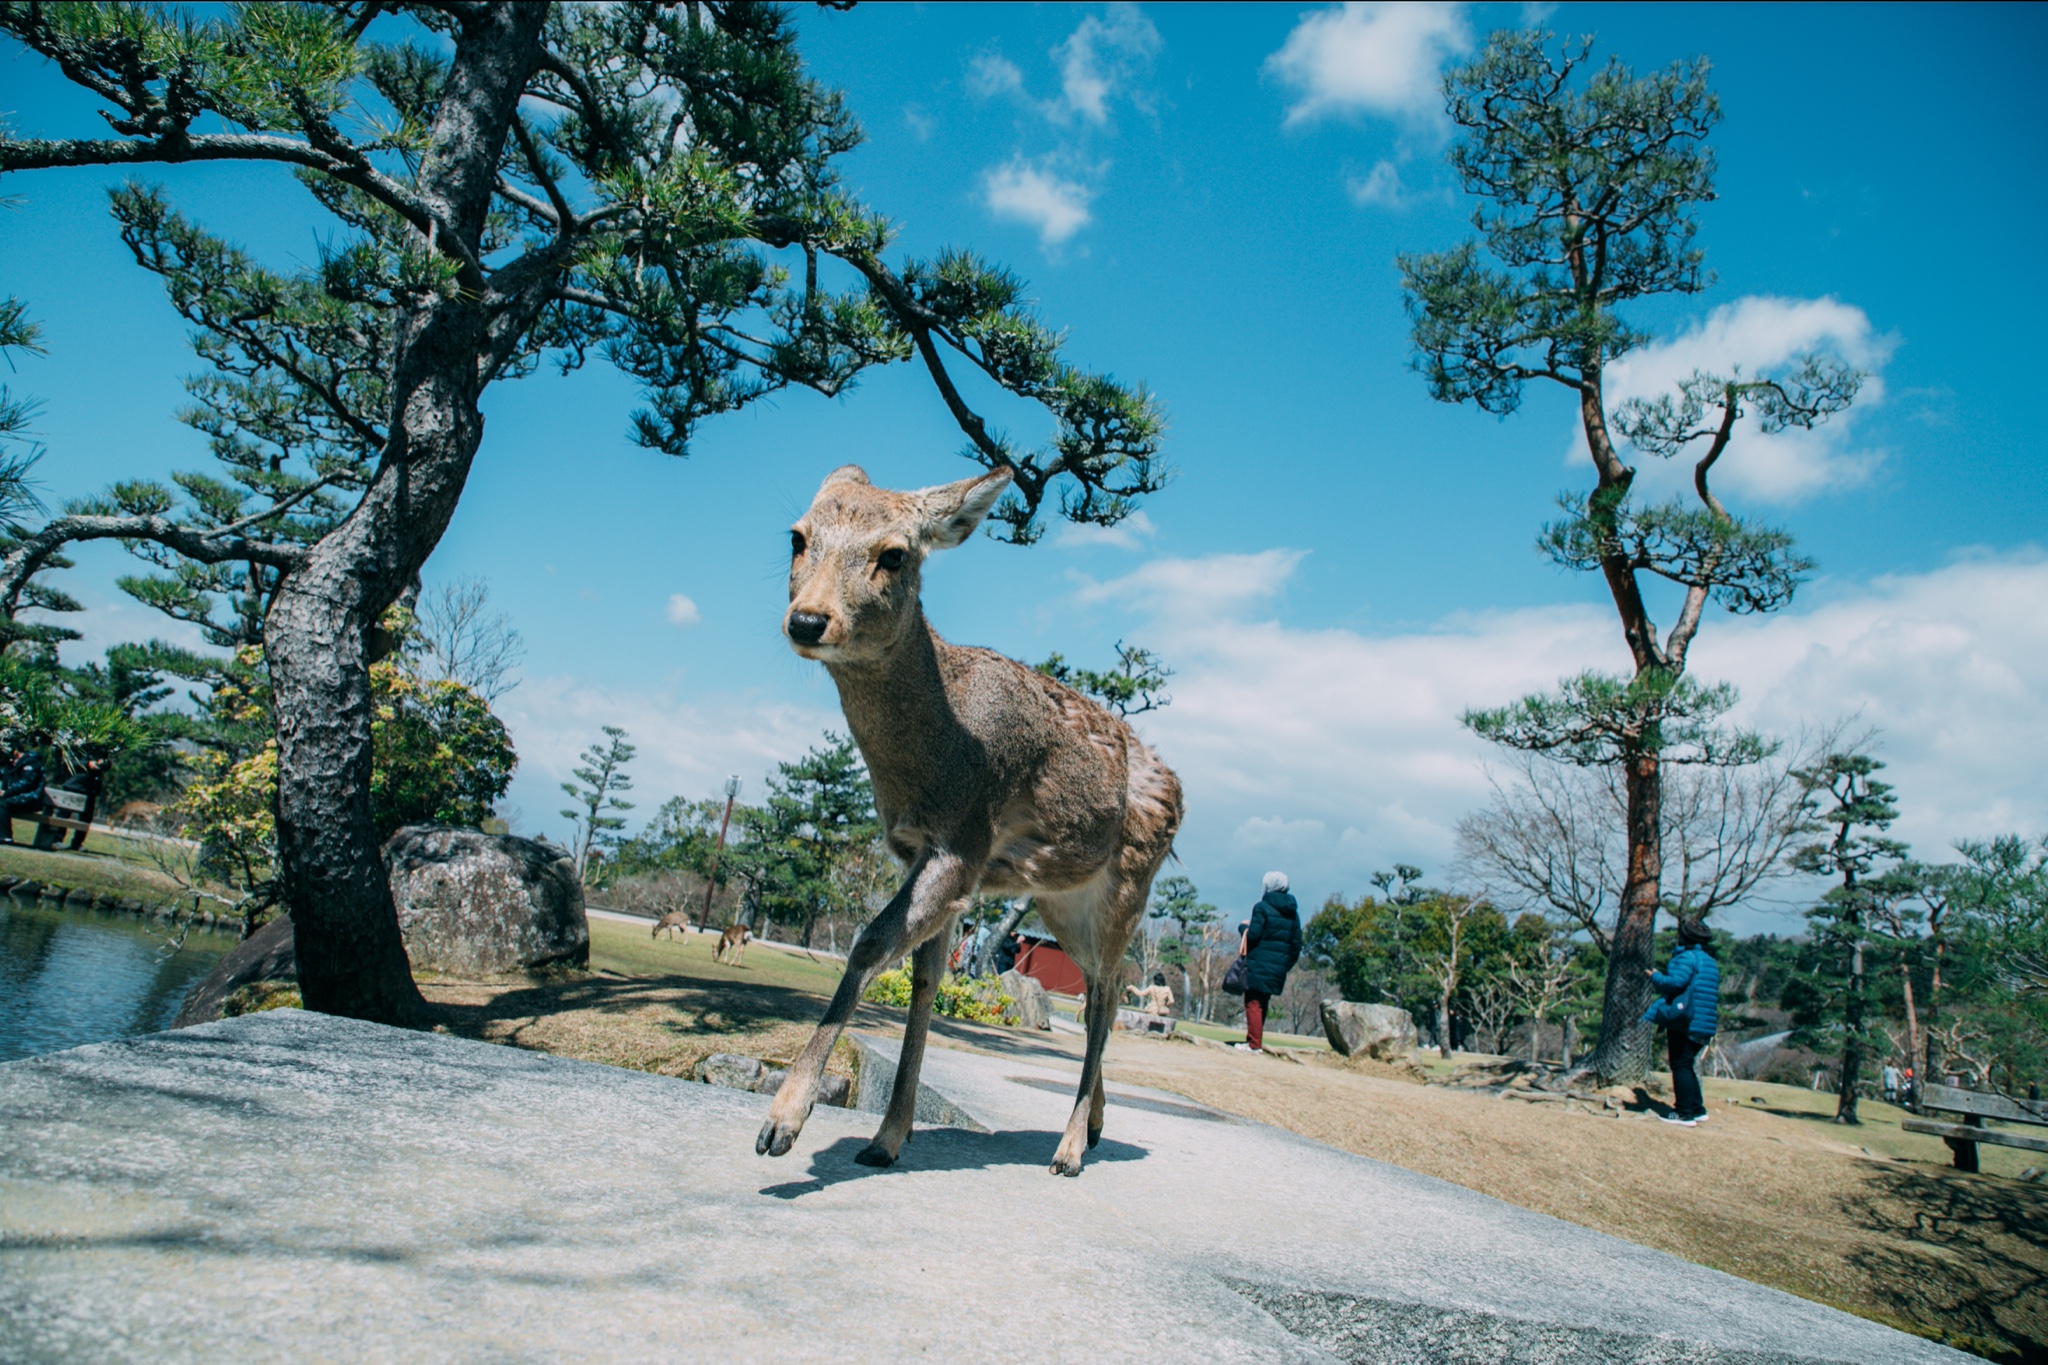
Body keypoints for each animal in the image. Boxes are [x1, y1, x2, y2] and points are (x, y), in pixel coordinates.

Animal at [761, 466, 1187, 1178]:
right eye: (797, 537)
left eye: (893, 554)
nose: (809, 620)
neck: (935, 758)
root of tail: (1178, 791)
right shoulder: (920, 852)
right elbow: (923, 977)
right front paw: (886, 1138)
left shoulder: (963, 843)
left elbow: (870, 944)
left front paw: (783, 1121)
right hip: (1060, 904)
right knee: (1100, 990)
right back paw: (1097, 1124)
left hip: (1127, 887)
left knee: (1106, 996)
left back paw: (1069, 1149)